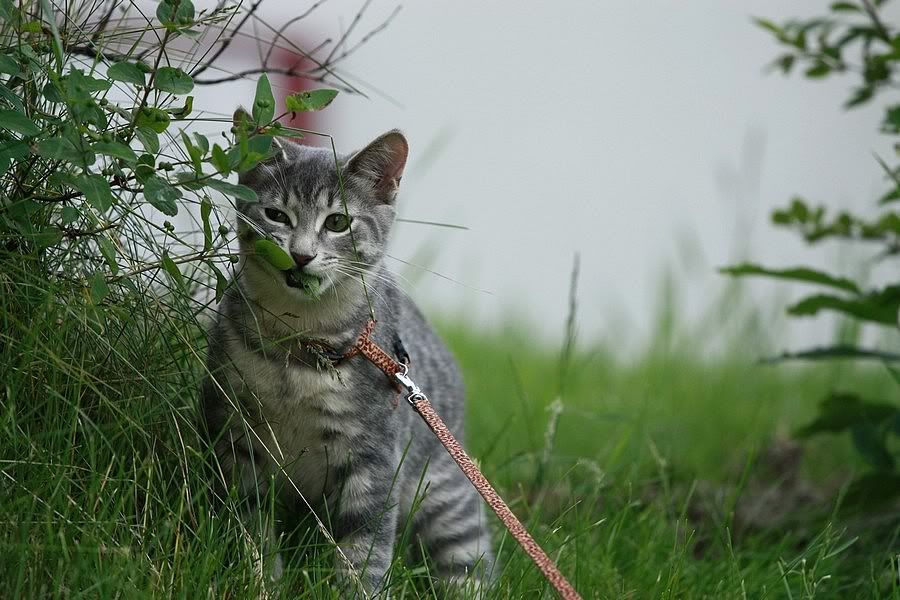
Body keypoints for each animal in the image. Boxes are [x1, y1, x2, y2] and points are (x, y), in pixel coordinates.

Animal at [201, 127, 496, 596]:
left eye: (337, 222)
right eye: (276, 215)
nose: (301, 254)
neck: (301, 347)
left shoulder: (373, 459)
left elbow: (364, 549)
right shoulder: (236, 438)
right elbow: (251, 527)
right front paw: (260, 581)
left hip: (449, 505)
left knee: (468, 567)